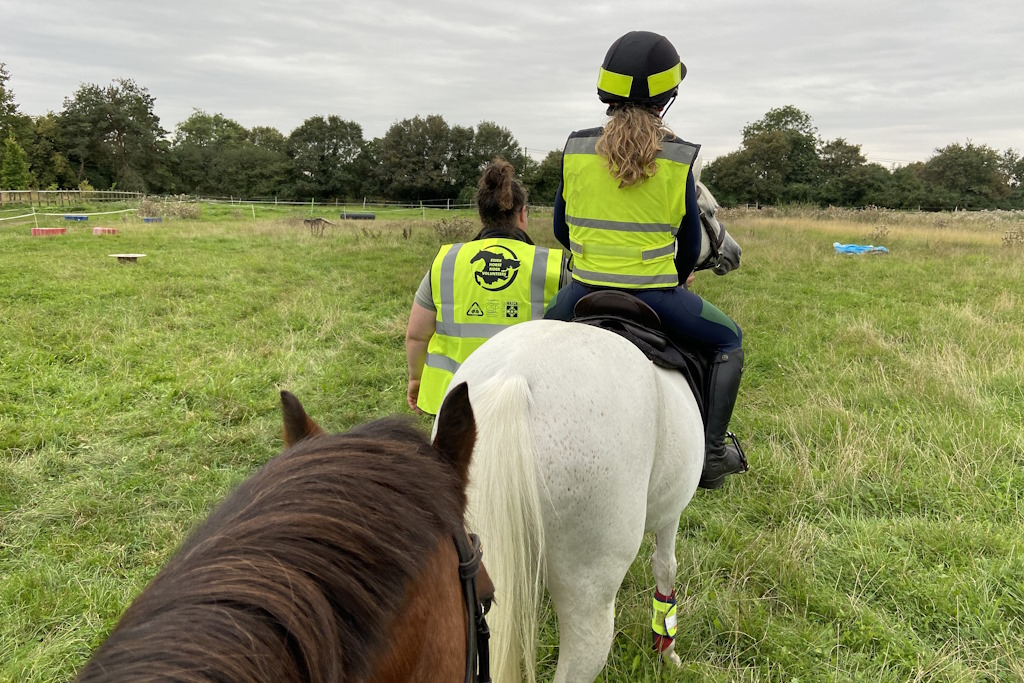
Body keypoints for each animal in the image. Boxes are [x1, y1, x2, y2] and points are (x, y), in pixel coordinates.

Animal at [437, 177, 741, 683]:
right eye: (711, 211)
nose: (733, 253)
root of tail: (515, 377)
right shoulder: (671, 512)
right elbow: (666, 570)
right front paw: (667, 651)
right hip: (589, 590)